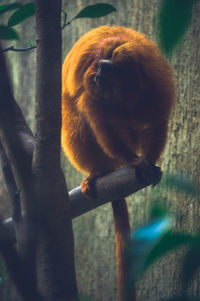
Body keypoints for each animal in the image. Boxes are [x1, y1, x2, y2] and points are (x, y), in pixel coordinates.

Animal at [61, 26, 175, 300]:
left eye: (109, 70)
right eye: (100, 67)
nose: (99, 75)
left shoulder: (155, 86)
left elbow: (157, 121)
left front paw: (149, 163)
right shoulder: (90, 89)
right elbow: (100, 124)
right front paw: (135, 163)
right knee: (76, 121)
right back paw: (100, 171)